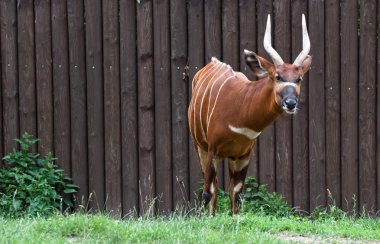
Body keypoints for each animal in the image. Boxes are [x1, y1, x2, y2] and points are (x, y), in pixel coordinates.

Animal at [188, 14, 312, 214]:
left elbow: (236, 194)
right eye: (277, 76)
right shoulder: (212, 149)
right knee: (211, 188)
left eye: (299, 78)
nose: (290, 103)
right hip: (200, 146)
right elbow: (208, 192)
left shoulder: (243, 155)